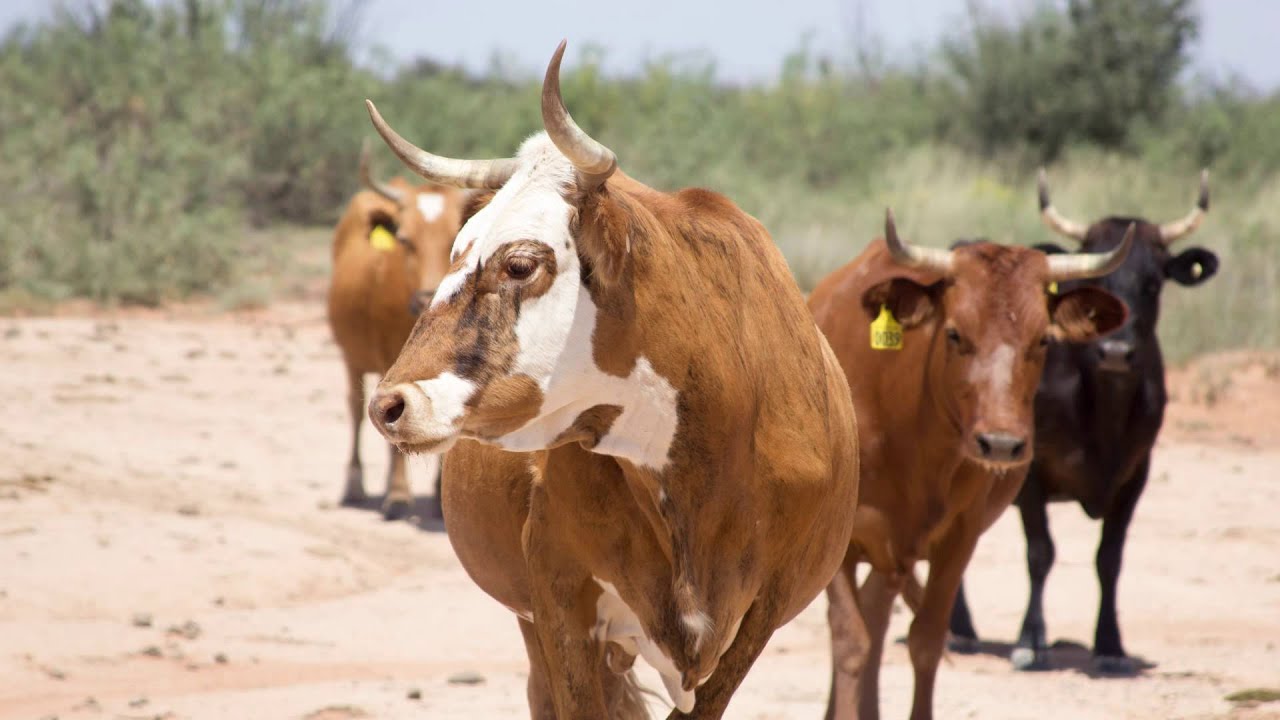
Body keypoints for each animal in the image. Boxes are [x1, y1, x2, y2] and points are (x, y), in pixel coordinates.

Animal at [326, 143, 463, 520]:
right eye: (405, 240)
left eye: (456, 238)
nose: (429, 297)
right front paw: (399, 496)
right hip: (351, 357)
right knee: (356, 411)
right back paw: (356, 485)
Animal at [809, 212, 1132, 720]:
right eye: (955, 333)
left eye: (1043, 339)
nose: (1000, 443)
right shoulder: (841, 540)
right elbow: (850, 641)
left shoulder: (959, 537)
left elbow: (924, 641)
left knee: (879, 619)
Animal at [948, 170, 1218, 675]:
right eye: (1097, 282)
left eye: (1153, 284)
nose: (1115, 352)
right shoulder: (1027, 470)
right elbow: (1041, 552)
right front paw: (1031, 641)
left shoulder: (1136, 474)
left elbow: (1109, 558)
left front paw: (1110, 644)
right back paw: (959, 630)